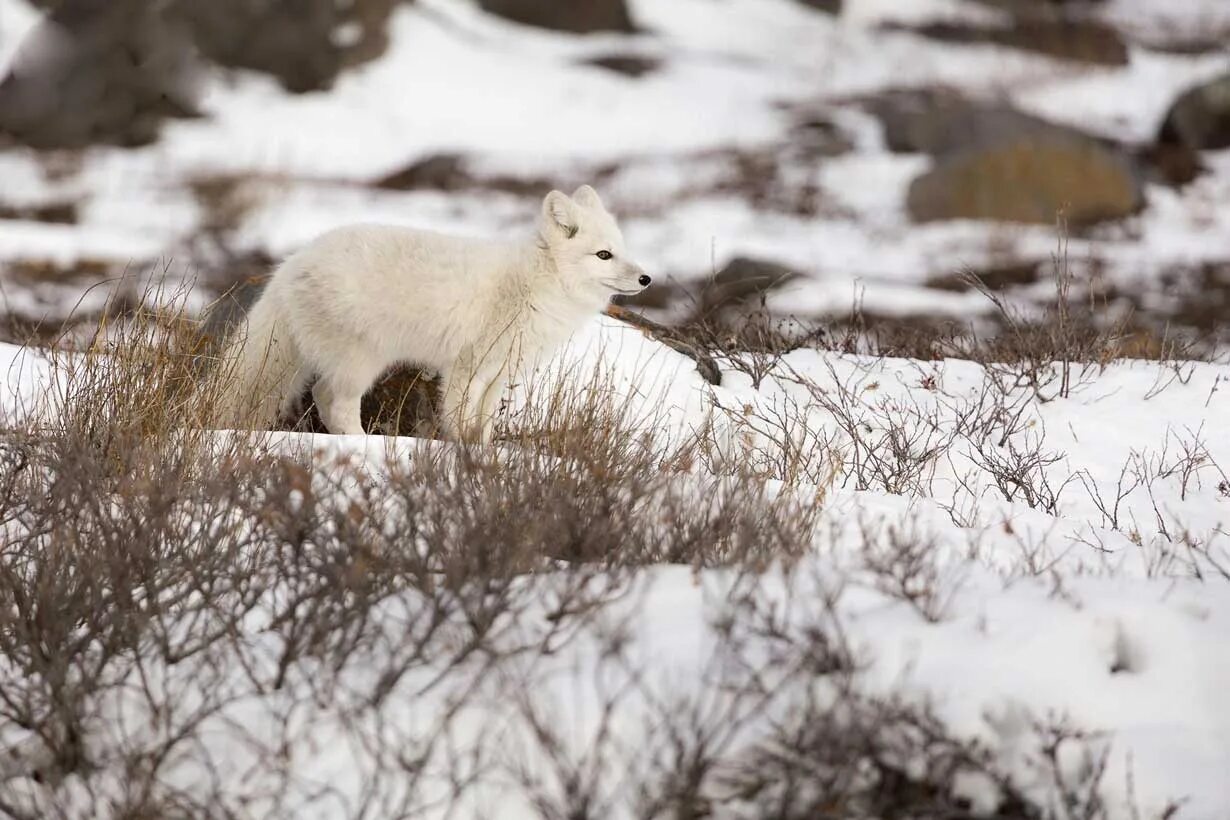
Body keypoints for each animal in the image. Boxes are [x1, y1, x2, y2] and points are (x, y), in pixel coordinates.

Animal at [215, 185, 649, 442]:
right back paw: (364, 447)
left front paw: (487, 456)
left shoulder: (501, 373)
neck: (536, 283)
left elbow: (484, 423)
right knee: (335, 402)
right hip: (363, 360)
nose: (646, 278)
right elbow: (458, 417)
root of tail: (293, 263)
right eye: (603, 255)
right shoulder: (467, 367)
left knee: (323, 396)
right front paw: (461, 455)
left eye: (623, 249)